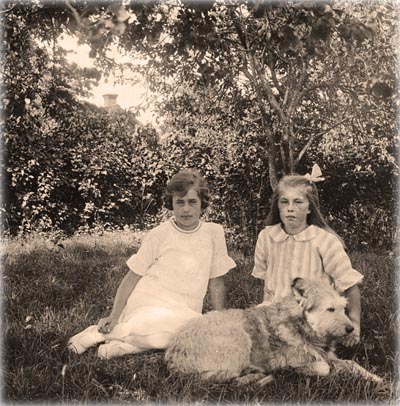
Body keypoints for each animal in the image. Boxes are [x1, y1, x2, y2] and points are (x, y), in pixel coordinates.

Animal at [164, 278, 382, 386]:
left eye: (343, 308)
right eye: (330, 309)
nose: (351, 329)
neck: (303, 327)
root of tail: (173, 359)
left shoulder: (327, 355)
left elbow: (352, 364)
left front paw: (376, 379)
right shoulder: (288, 359)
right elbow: (323, 368)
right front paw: (296, 371)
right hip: (239, 337)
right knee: (232, 380)